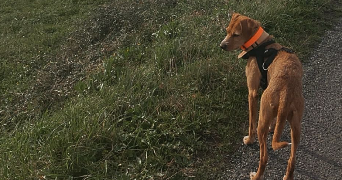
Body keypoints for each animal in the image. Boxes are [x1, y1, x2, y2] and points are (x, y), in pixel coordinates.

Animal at [222, 13, 304, 180]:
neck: (261, 45)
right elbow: (275, 123)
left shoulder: (252, 93)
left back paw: (256, 175)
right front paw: (274, 128)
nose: (222, 45)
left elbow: (250, 123)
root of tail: (286, 92)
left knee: (264, 156)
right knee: (292, 160)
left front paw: (249, 139)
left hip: (262, 120)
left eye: (236, 34)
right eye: (227, 30)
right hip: (296, 126)